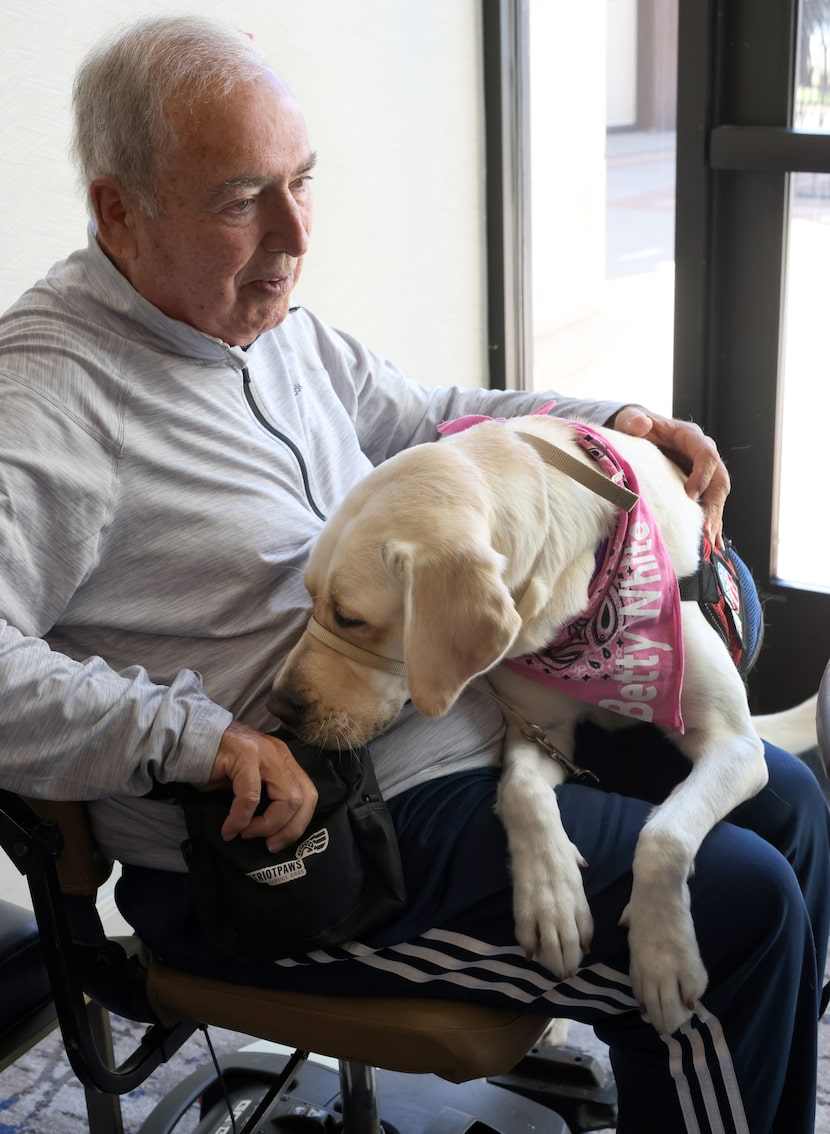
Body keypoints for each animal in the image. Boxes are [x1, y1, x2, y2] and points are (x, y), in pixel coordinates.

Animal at [268, 415, 793, 1038]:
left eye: (350, 618)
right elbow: (519, 793)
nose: (278, 707)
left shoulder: (736, 744)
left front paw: (663, 953)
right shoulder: (540, 734)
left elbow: (664, 835)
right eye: (309, 596)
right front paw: (551, 898)